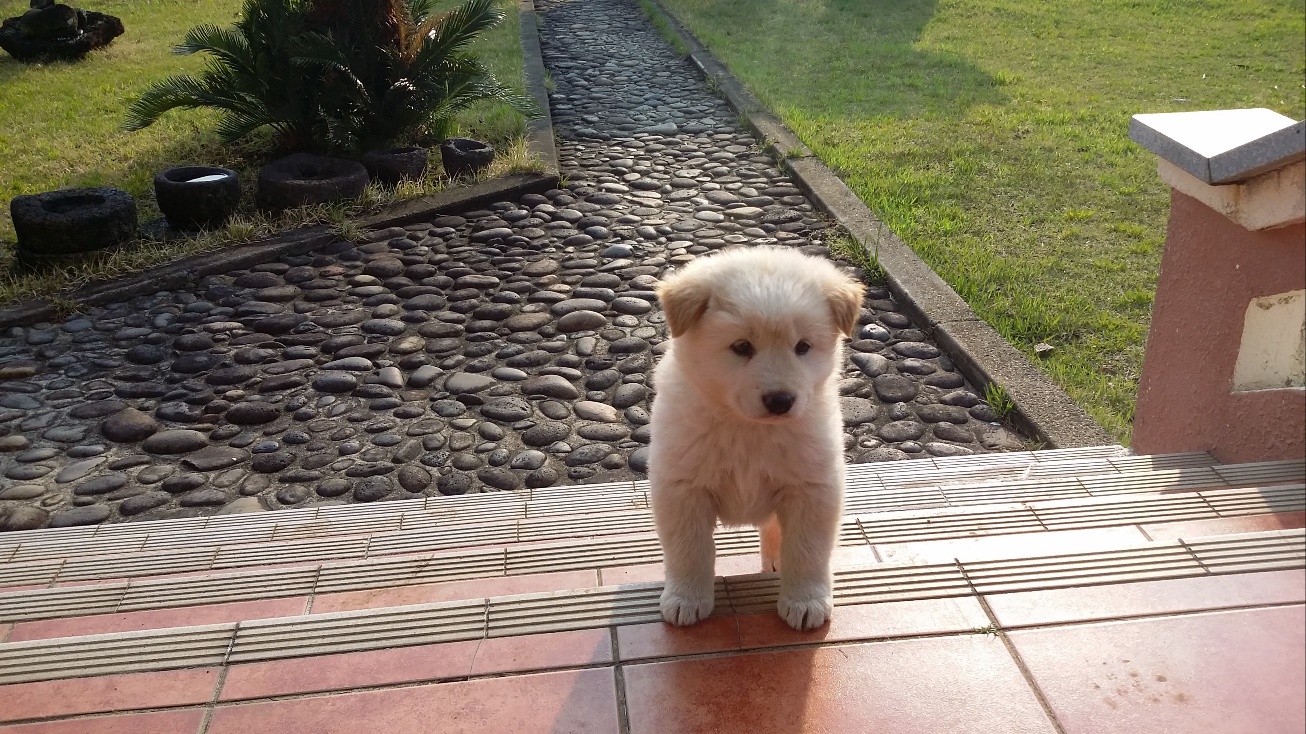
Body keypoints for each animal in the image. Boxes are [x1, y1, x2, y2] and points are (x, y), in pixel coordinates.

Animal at [647, 245, 861, 629]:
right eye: (742, 347)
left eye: (802, 346)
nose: (780, 401)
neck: (749, 429)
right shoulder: (682, 488)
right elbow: (690, 549)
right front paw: (686, 599)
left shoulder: (812, 488)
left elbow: (807, 550)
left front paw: (805, 601)